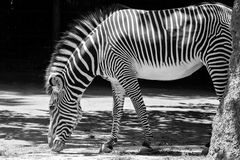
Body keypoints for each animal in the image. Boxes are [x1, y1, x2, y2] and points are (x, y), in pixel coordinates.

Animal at [45, 2, 232, 152]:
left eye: (52, 107)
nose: (50, 146)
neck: (98, 51)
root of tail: (229, 10)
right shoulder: (116, 80)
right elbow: (116, 110)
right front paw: (110, 143)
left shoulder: (126, 74)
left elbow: (139, 107)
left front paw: (147, 143)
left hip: (217, 59)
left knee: (223, 101)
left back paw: (210, 144)